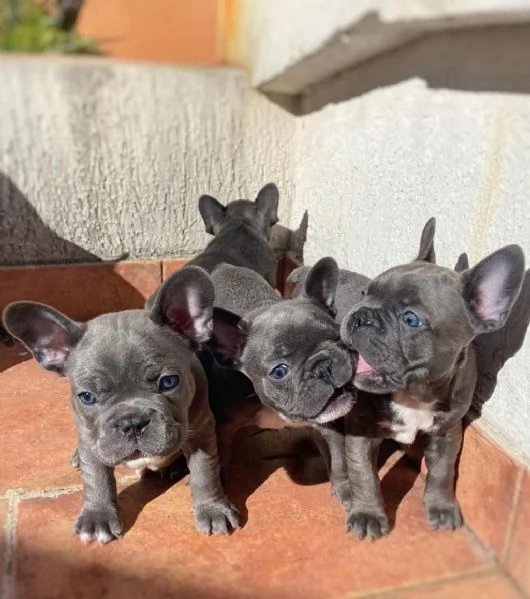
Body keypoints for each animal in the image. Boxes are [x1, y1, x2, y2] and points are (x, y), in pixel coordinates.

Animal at [2, 268, 237, 544]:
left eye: (169, 382)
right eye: (87, 397)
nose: (132, 422)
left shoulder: (201, 431)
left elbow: (205, 471)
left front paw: (213, 509)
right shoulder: (90, 436)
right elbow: (97, 478)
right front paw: (98, 517)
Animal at [204, 258, 356, 510]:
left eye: (339, 340)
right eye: (279, 371)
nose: (324, 368)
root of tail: (225, 266)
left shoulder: (330, 423)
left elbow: (339, 457)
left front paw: (347, 490)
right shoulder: (224, 425)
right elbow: (220, 454)